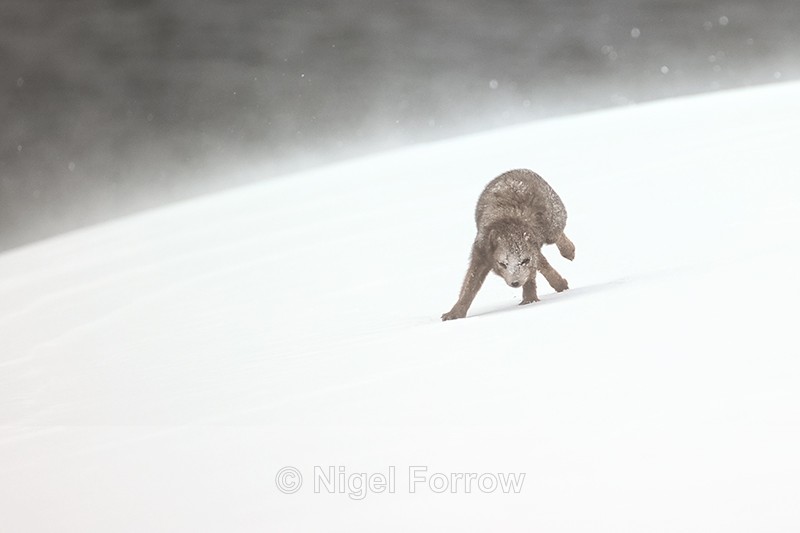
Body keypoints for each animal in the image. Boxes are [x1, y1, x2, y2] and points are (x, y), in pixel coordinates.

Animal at [441, 169, 575, 321]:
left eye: (524, 260)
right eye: (502, 264)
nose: (515, 283)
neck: (507, 226)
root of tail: (518, 169)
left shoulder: (531, 255)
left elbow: (535, 273)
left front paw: (531, 299)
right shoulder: (481, 253)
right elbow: (469, 286)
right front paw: (455, 313)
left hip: (553, 227)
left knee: (558, 236)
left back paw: (569, 251)